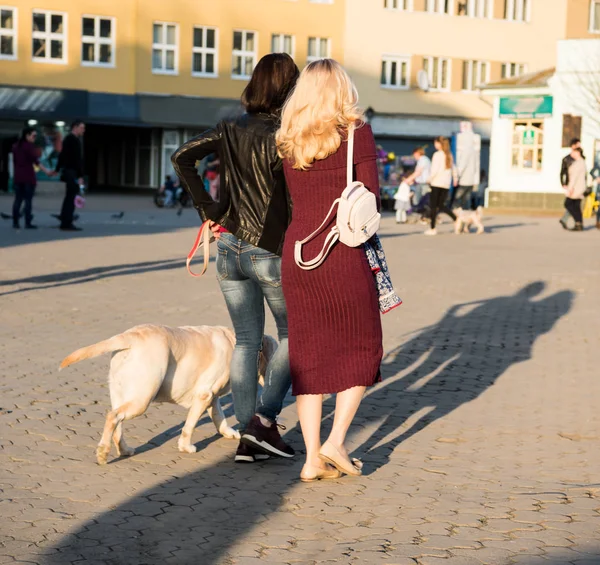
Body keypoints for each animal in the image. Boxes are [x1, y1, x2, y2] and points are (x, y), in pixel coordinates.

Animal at [59, 324, 278, 464]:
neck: (235, 343)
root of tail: (129, 337)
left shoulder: (211, 396)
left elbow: (218, 416)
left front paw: (228, 432)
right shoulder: (204, 395)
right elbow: (190, 425)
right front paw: (186, 446)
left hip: (123, 393)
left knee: (117, 422)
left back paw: (125, 450)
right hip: (143, 397)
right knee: (112, 417)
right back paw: (103, 453)